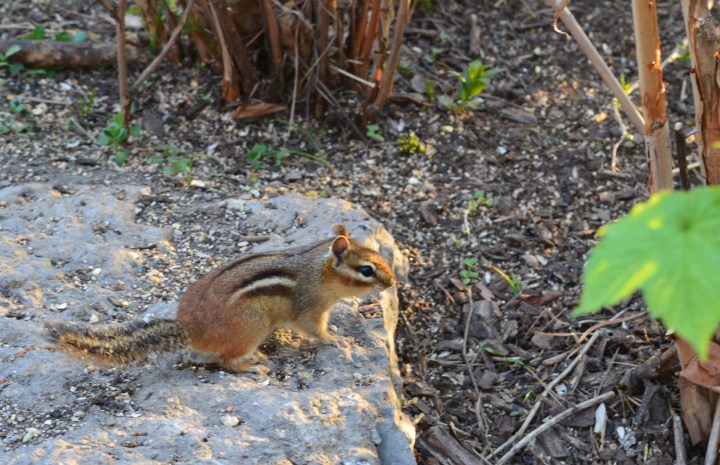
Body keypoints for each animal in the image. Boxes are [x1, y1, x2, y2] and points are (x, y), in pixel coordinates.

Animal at [46, 224, 397, 372]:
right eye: (366, 270)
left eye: (380, 256)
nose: (393, 282)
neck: (317, 270)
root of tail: (188, 329)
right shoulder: (310, 310)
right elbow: (315, 330)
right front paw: (337, 340)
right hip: (252, 327)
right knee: (226, 361)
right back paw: (252, 366)